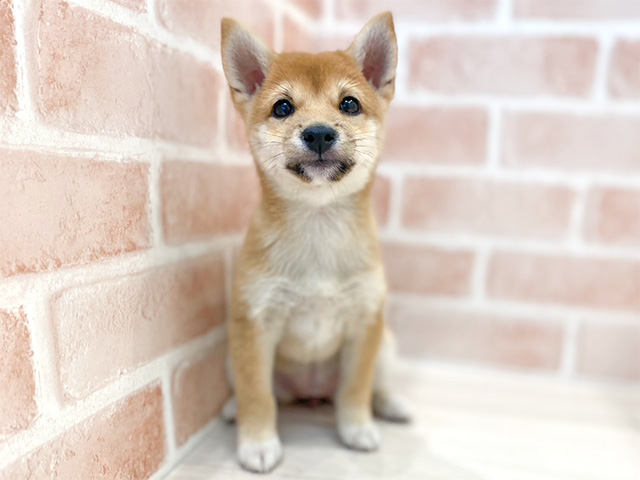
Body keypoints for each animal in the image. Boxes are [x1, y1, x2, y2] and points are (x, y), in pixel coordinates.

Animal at [220, 10, 410, 472]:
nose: (320, 133)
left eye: (350, 104)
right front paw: (257, 443)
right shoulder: (254, 328)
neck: (318, 227)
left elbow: (356, 389)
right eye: (283, 107)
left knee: (374, 385)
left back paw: (392, 404)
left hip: (387, 345)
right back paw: (232, 410)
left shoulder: (365, 326)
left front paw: (356, 428)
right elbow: (257, 395)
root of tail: (309, 395)